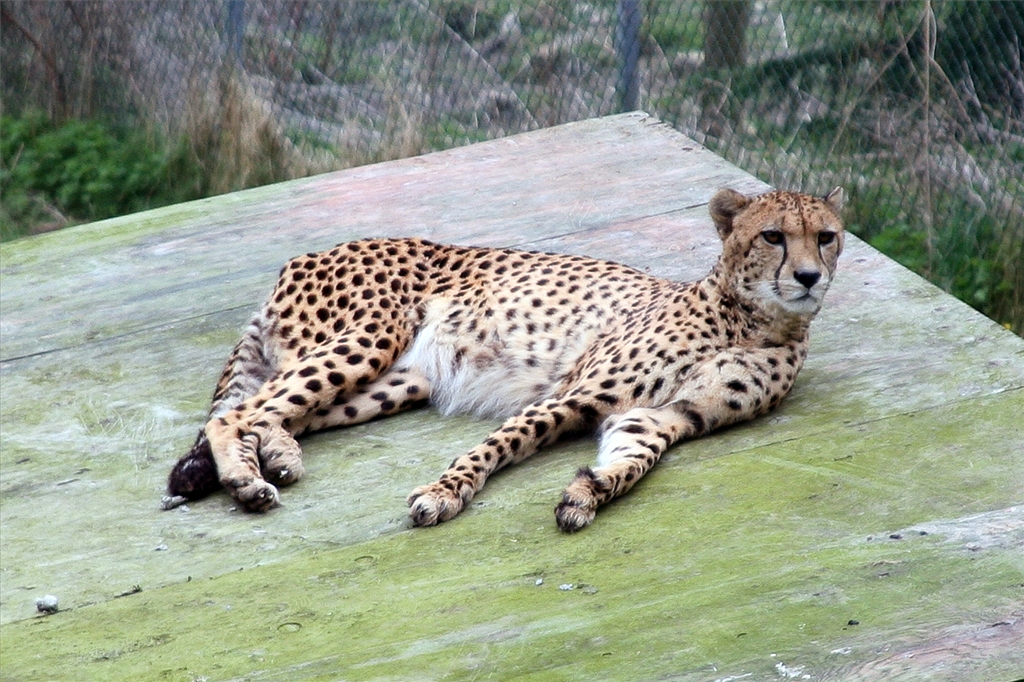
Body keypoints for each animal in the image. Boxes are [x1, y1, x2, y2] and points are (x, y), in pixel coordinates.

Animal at [163, 187, 845, 532]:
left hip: (398, 380)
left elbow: (632, 459)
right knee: (237, 413)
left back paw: (275, 455)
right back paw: (246, 479)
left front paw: (589, 491)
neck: (753, 318)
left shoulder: (663, 416)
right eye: (773, 236)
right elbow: (496, 447)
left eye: (826, 237)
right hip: (368, 338)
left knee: (276, 412)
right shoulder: (573, 393)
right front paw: (444, 494)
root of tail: (305, 254)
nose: (809, 277)